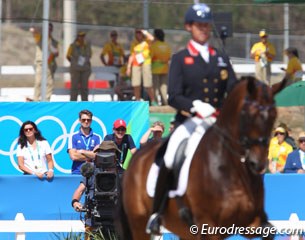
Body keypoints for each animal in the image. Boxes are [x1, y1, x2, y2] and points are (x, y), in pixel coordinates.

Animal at [117, 77, 284, 240]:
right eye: (247, 114)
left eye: (274, 115)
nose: (258, 163)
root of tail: (137, 155)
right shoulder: (209, 228)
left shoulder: (252, 224)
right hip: (139, 223)